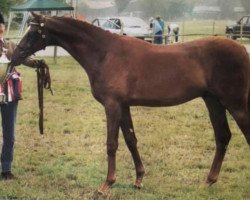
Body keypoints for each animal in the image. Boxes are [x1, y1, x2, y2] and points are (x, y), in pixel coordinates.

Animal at [10, 13, 250, 194]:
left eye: (33, 32)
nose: (14, 56)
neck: (105, 53)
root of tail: (243, 50)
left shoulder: (112, 105)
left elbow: (112, 143)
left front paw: (107, 184)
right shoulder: (123, 106)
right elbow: (131, 140)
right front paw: (139, 179)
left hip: (236, 105)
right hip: (213, 102)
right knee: (222, 137)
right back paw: (209, 180)